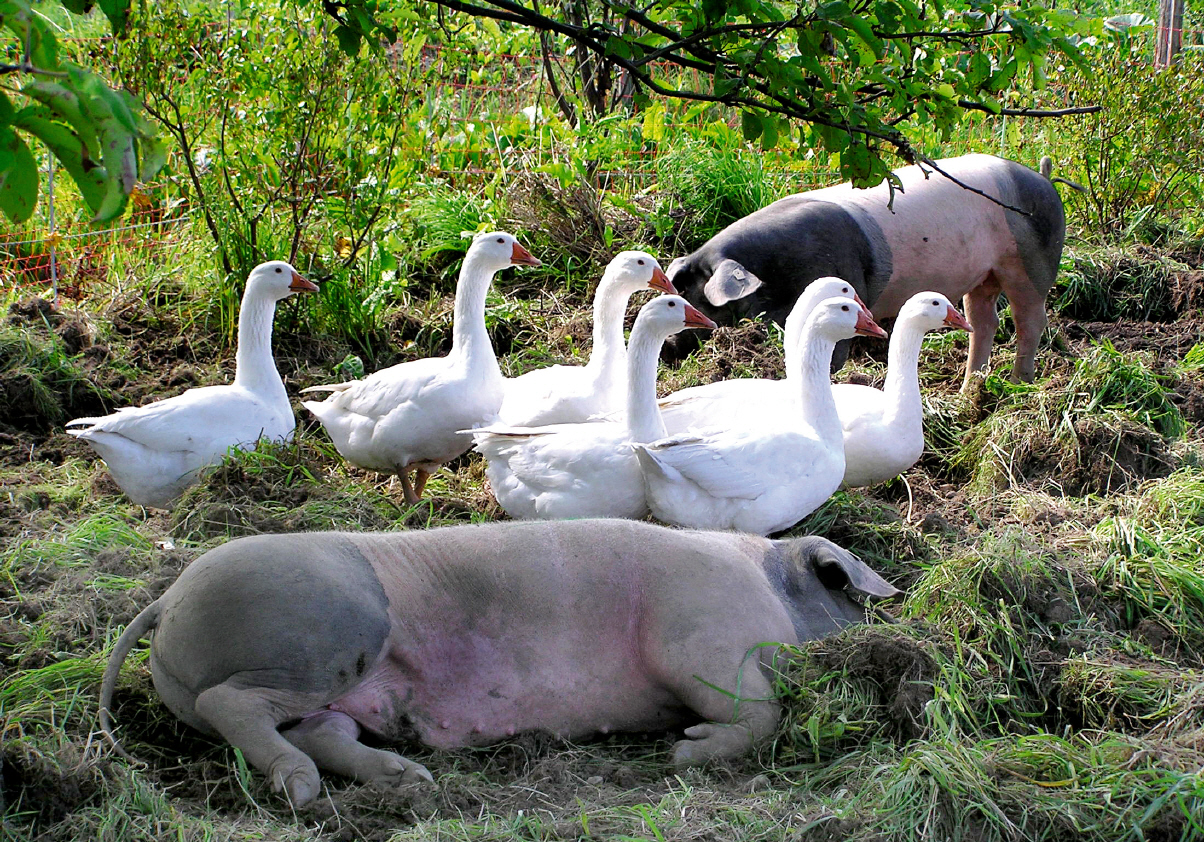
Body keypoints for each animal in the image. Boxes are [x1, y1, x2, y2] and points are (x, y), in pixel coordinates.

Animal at [101, 520, 895, 804]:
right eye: (848, 595)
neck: (770, 591)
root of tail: (167, 602)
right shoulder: (702, 638)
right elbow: (761, 713)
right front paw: (683, 751)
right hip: (321, 637)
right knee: (232, 705)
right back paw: (300, 791)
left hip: (331, 687)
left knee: (322, 731)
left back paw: (410, 781)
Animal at [664, 152, 1069, 387]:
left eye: (700, 298)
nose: (667, 347)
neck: (772, 272)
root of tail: (1044, 178)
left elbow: (836, 354)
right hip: (983, 276)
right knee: (984, 322)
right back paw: (970, 387)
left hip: (1032, 261)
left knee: (1030, 320)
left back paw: (1018, 383)